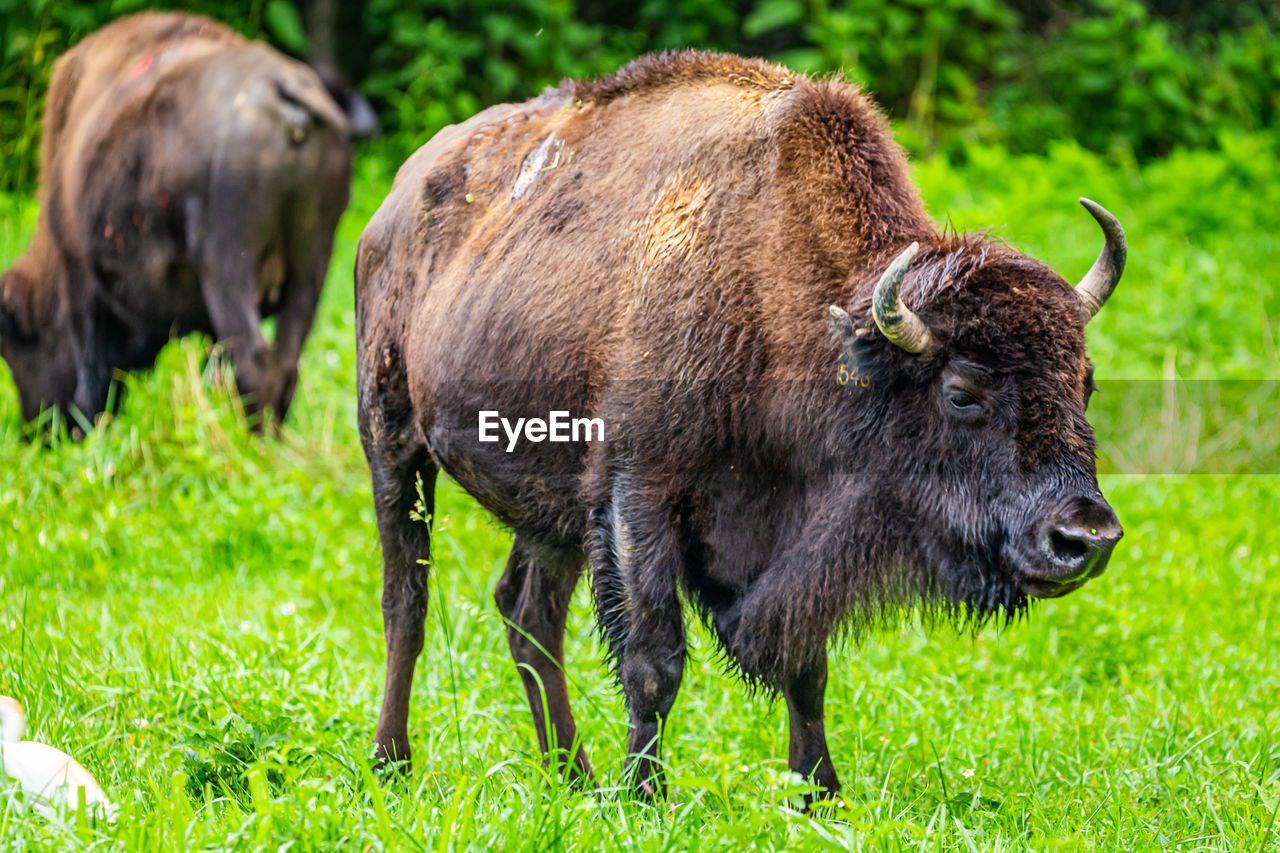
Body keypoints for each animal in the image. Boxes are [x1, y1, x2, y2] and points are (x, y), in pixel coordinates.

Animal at [0, 11, 350, 425]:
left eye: (18, 346)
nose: (36, 427)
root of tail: (284, 91)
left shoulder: (81, 283)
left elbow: (92, 376)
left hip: (228, 272)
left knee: (254, 365)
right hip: (311, 265)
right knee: (284, 365)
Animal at [355, 51, 1126, 799]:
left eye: (1084, 381)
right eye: (962, 393)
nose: (1084, 537)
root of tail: (393, 204)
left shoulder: (789, 540)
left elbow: (806, 664)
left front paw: (818, 791)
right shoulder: (640, 497)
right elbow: (653, 660)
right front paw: (646, 796)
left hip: (551, 508)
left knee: (528, 612)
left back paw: (571, 777)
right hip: (393, 445)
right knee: (406, 605)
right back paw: (394, 764)